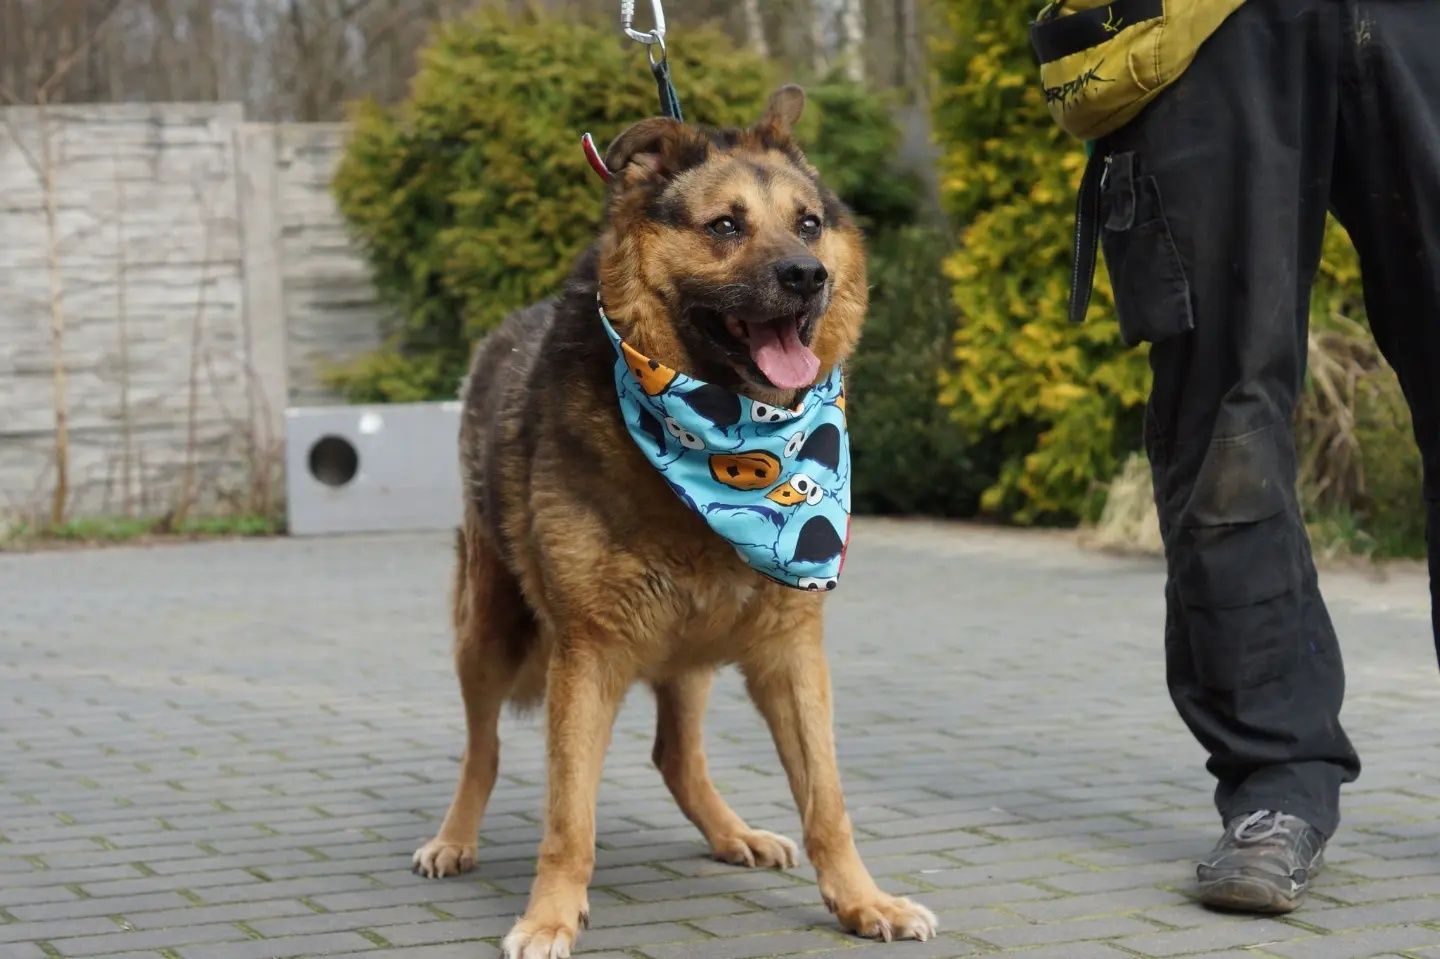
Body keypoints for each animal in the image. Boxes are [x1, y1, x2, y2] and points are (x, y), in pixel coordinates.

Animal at [411, 83, 938, 956]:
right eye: (724, 226)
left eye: (808, 223)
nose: (807, 276)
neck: (725, 432)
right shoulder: (587, 653)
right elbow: (569, 817)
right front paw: (551, 913)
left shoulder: (791, 652)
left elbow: (827, 801)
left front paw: (864, 900)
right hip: (488, 631)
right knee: (481, 748)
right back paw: (454, 838)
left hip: (688, 653)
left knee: (674, 754)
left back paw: (733, 834)